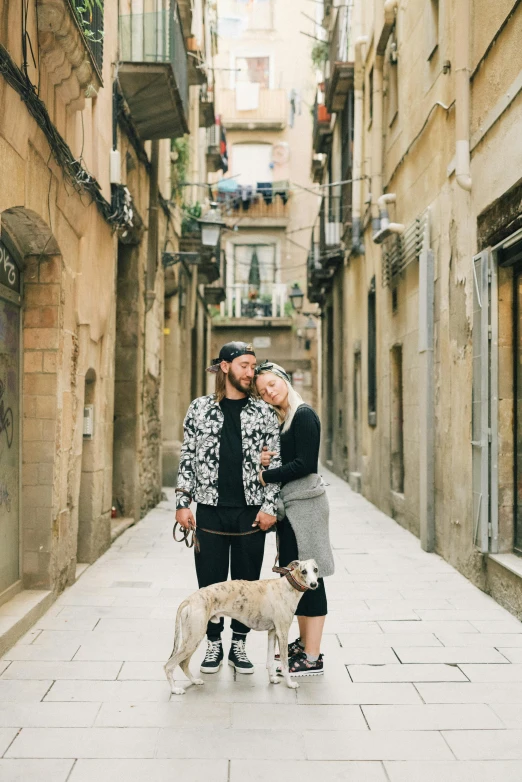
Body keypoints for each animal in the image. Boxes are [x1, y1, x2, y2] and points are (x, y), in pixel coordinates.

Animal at [164, 560, 316, 696]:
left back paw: (194, 681)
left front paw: (272, 679)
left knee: (183, 663)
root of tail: (189, 600)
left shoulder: (273, 632)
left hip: (191, 639)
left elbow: (269, 661)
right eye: (304, 571)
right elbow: (284, 664)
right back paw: (174, 689)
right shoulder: (282, 632)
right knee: (169, 665)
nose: (314, 584)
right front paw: (290, 683)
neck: (287, 586)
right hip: (194, 638)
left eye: (315, 569)